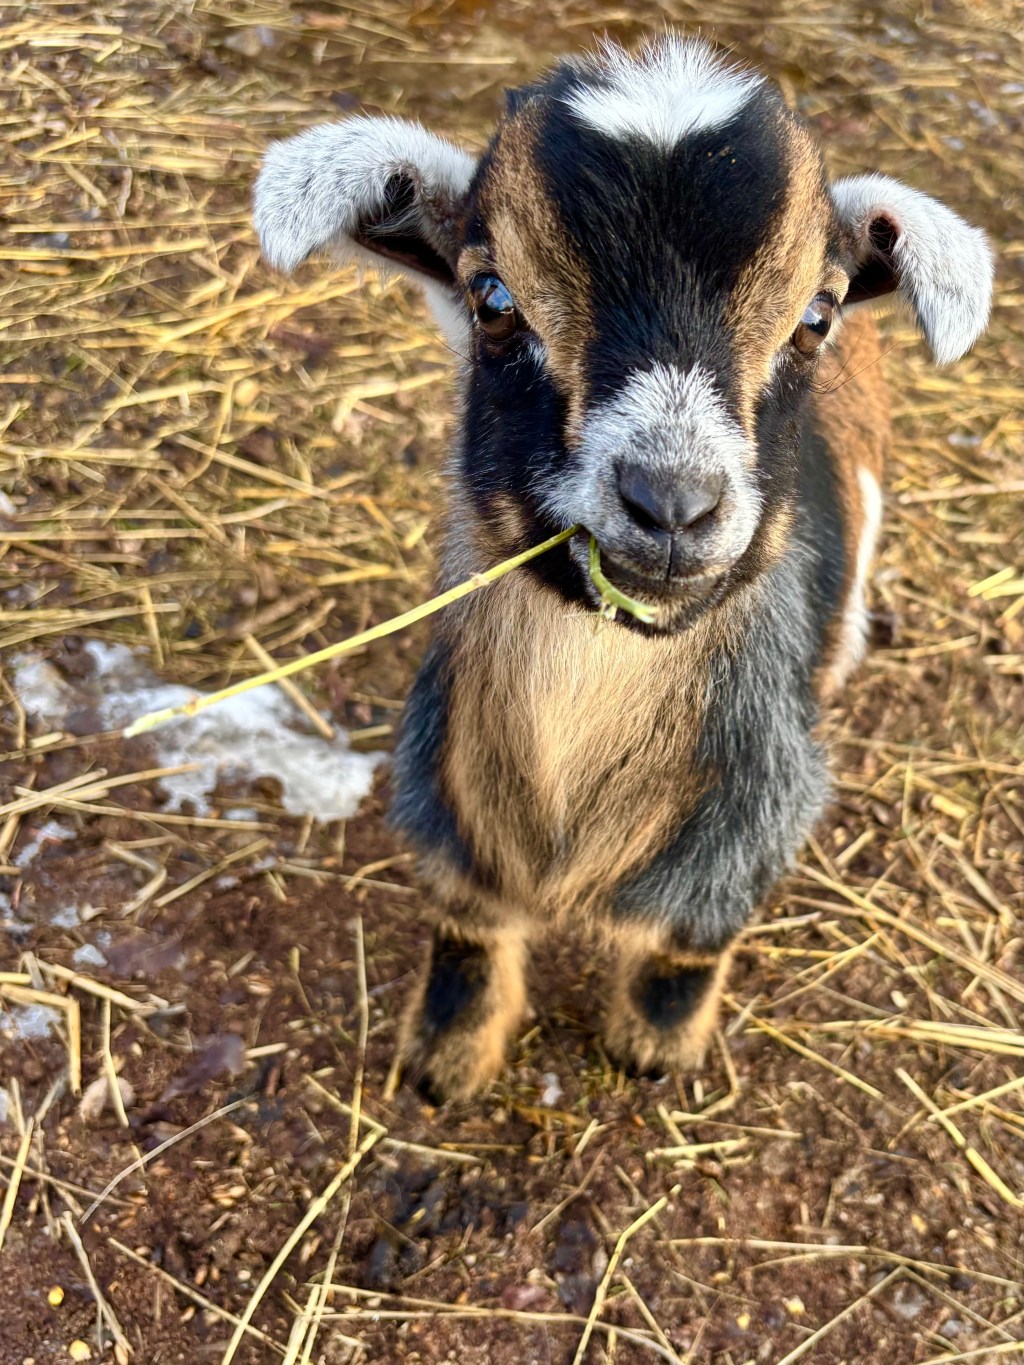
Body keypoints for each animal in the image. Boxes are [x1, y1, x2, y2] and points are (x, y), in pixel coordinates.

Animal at [253, 36, 993, 1101]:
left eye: (815, 318)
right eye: (492, 300)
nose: (673, 504)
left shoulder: (750, 824)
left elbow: (688, 945)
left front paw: (653, 1046)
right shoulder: (455, 804)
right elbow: (468, 931)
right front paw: (448, 1059)